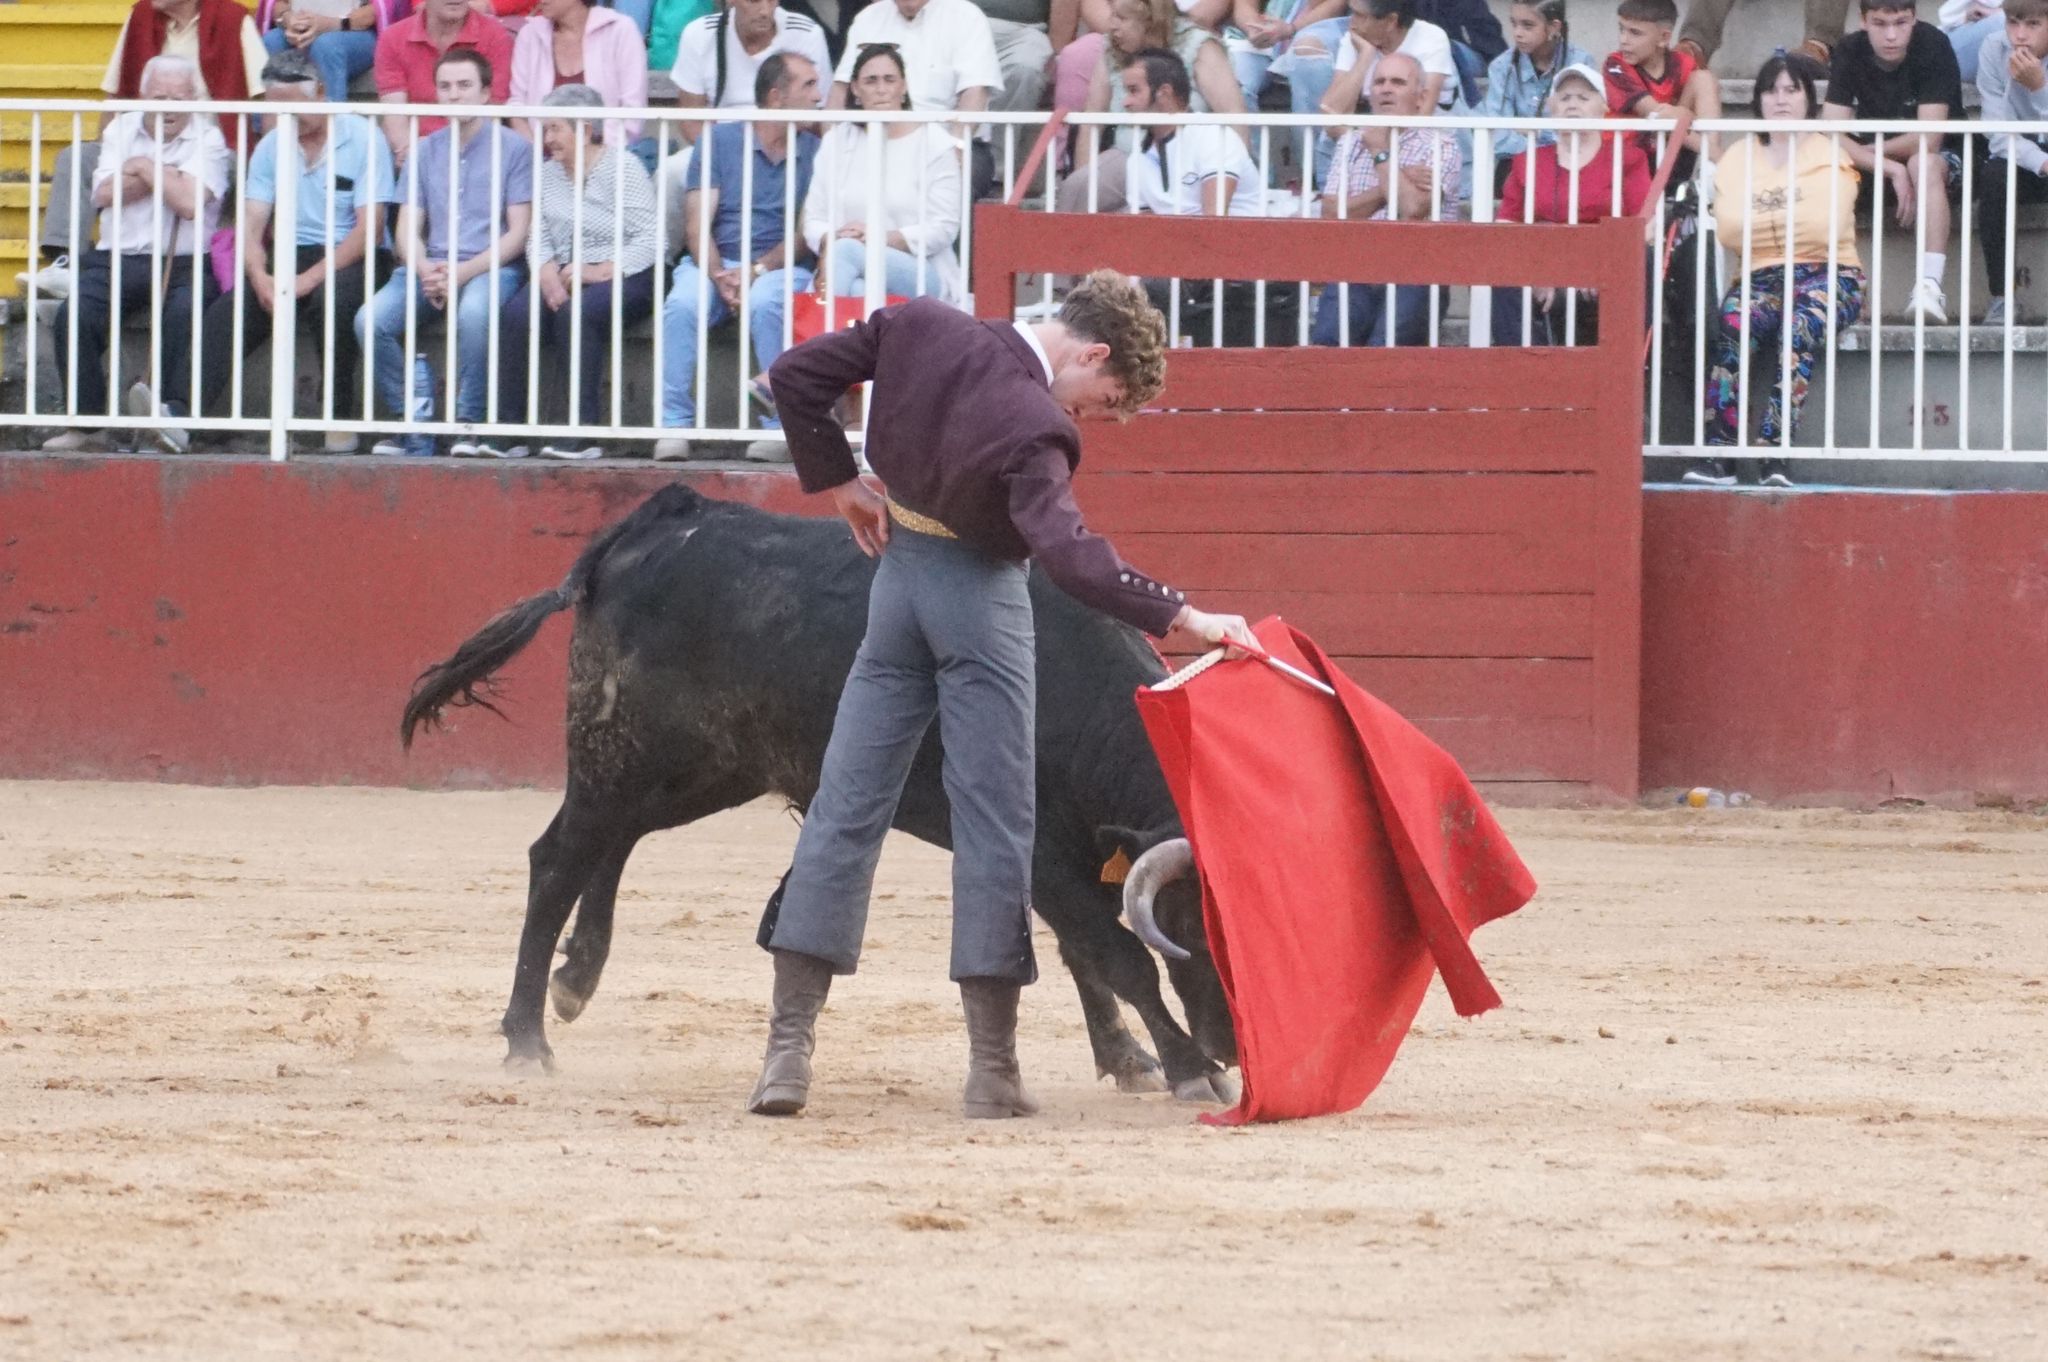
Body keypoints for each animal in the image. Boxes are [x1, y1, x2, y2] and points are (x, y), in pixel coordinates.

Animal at [393, 483, 1236, 1097]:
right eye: (1191, 930)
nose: (1232, 1043)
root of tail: (662, 520)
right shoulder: (1039, 854)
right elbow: (1115, 954)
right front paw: (1187, 1068)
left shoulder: (1055, 857)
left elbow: (1081, 952)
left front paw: (1129, 1060)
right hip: (618, 756)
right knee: (557, 859)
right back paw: (528, 1037)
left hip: (703, 770)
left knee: (615, 841)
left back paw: (575, 978)